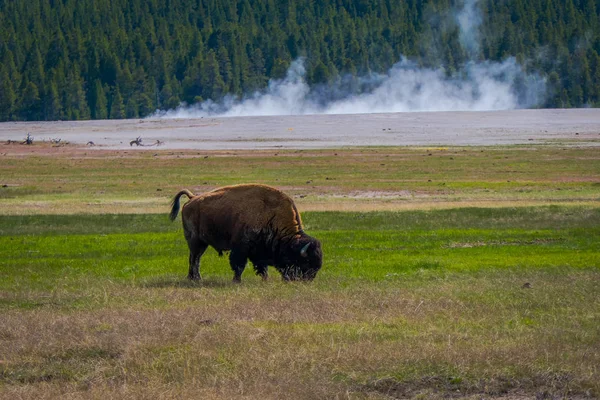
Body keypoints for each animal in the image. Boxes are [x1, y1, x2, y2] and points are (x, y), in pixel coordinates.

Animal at [169, 183, 324, 282]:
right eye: (305, 262)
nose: (308, 280)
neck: (271, 215)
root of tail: (192, 198)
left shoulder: (260, 250)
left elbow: (262, 267)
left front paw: (265, 280)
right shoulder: (241, 247)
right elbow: (239, 265)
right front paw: (236, 280)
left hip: (202, 243)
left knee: (194, 258)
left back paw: (193, 278)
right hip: (195, 240)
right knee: (195, 259)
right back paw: (196, 278)